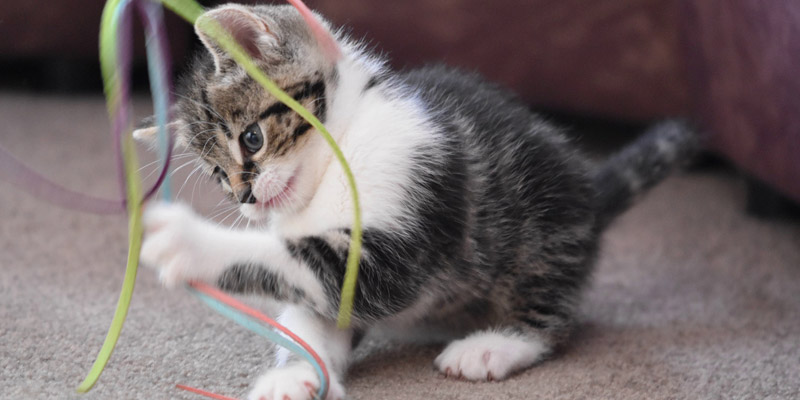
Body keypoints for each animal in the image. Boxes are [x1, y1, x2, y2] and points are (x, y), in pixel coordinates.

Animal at [138, 3, 700, 400]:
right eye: (217, 175)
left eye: (251, 139)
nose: (245, 198)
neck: (338, 162)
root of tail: (589, 194)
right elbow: (308, 309)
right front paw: (296, 375)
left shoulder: (408, 211)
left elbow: (310, 265)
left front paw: (188, 241)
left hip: (542, 225)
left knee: (551, 312)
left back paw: (495, 344)